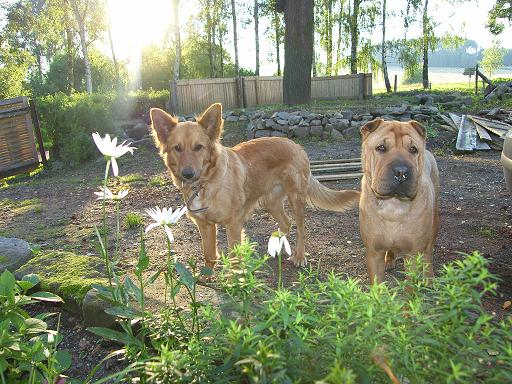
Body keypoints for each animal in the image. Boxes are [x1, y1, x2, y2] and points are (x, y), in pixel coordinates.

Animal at [149, 103, 360, 268]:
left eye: (198, 147)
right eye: (177, 148)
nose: (188, 174)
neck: (205, 183)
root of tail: (296, 145)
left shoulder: (233, 224)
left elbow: (234, 258)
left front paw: (235, 282)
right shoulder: (205, 225)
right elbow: (209, 254)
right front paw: (206, 277)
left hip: (296, 199)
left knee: (301, 228)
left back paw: (299, 256)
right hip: (271, 202)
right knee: (286, 224)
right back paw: (273, 248)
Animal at [360, 118, 440, 284]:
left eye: (413, 149)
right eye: (381, 147)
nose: (401, 171)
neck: (393, 206)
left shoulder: (413, 252)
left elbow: (410, 284)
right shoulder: (374, 252)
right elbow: (377, 284)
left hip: (434, 222)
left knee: (428, 253)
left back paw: (429, 277)